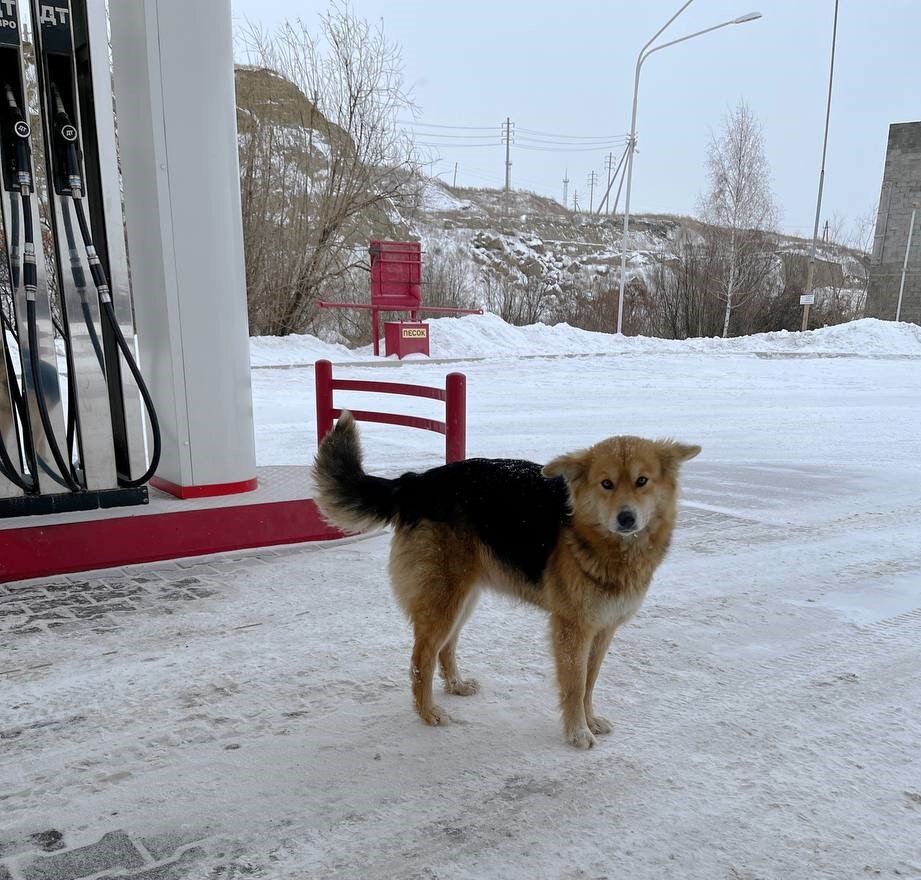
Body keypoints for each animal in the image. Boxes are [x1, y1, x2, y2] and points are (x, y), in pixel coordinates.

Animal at [312, 412, 700, 748]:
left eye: (642, 481)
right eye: (606, 484)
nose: (626, 518)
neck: (598, 540)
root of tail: (416, 482)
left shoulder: (603, 628)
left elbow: (590, 682)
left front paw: (590, 720)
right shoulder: (573, 629)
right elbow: (575, 686)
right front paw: (577, 733)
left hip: (462, 598)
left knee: (445, 648)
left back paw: (456, 685)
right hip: (444, 599)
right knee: (421, 659)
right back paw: (428, 713)